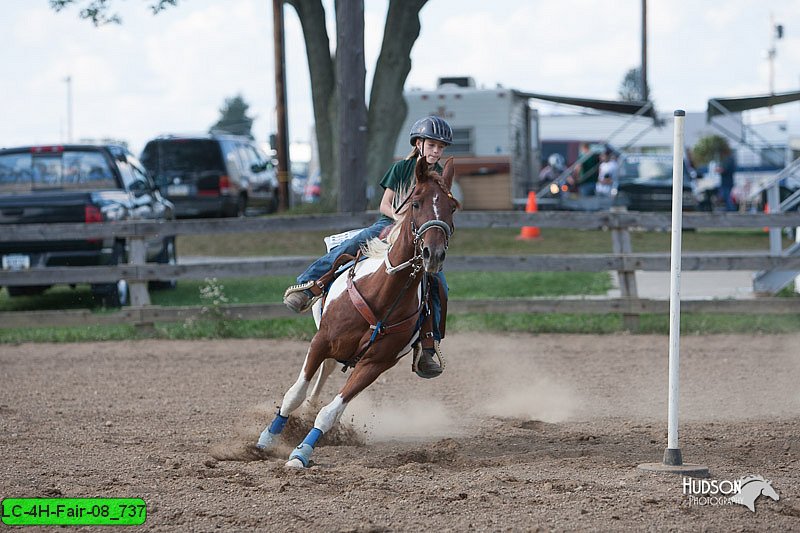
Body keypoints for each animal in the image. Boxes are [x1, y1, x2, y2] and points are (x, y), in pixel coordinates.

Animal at [253, 156, 460, 468]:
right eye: (416, 203)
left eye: (452, 207)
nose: (432, 254)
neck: (382, 295)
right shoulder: (321, 340)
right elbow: (293, 394)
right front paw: (265, 441)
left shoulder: (376, 364)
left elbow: (331, 411)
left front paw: (301, 453)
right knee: (322, 371)